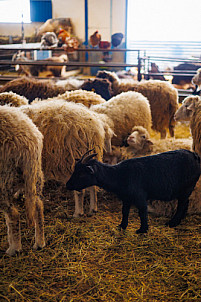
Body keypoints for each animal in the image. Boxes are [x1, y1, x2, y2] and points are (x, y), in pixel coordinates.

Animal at [0, 105, 45, 255]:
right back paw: (39, 243)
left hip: (4, 177)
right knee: (38, 205)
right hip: (34, 175)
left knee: (13, 214)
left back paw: (14, 249)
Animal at [66, 150, 201, 232]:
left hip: (187, 188)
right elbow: (124, 212)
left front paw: (142, 230)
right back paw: (179, 220)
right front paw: (122, 226)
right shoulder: (126, 198)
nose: (68, 185)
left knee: (182, 204)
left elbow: (142, 212)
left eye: (81, 173)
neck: (118, 175)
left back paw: (173, 222)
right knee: (185, 203)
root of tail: (194, 155)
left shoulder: (139, 197)